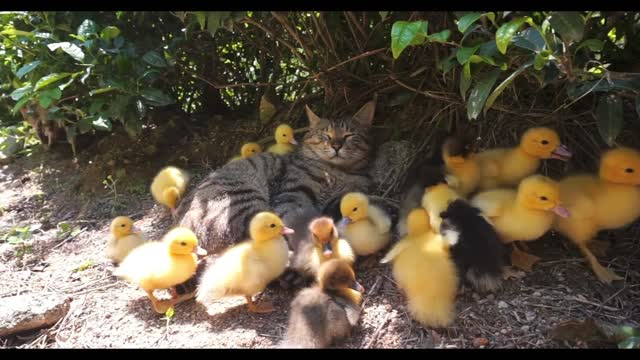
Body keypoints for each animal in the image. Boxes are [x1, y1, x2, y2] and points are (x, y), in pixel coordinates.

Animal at [175, 100, 376, 255]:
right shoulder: (292, 194)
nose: (336, 146)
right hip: (245, 202)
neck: (335, 171)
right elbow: (293, 219)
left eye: (349, 135)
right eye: (325, 135)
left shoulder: (346, 194)